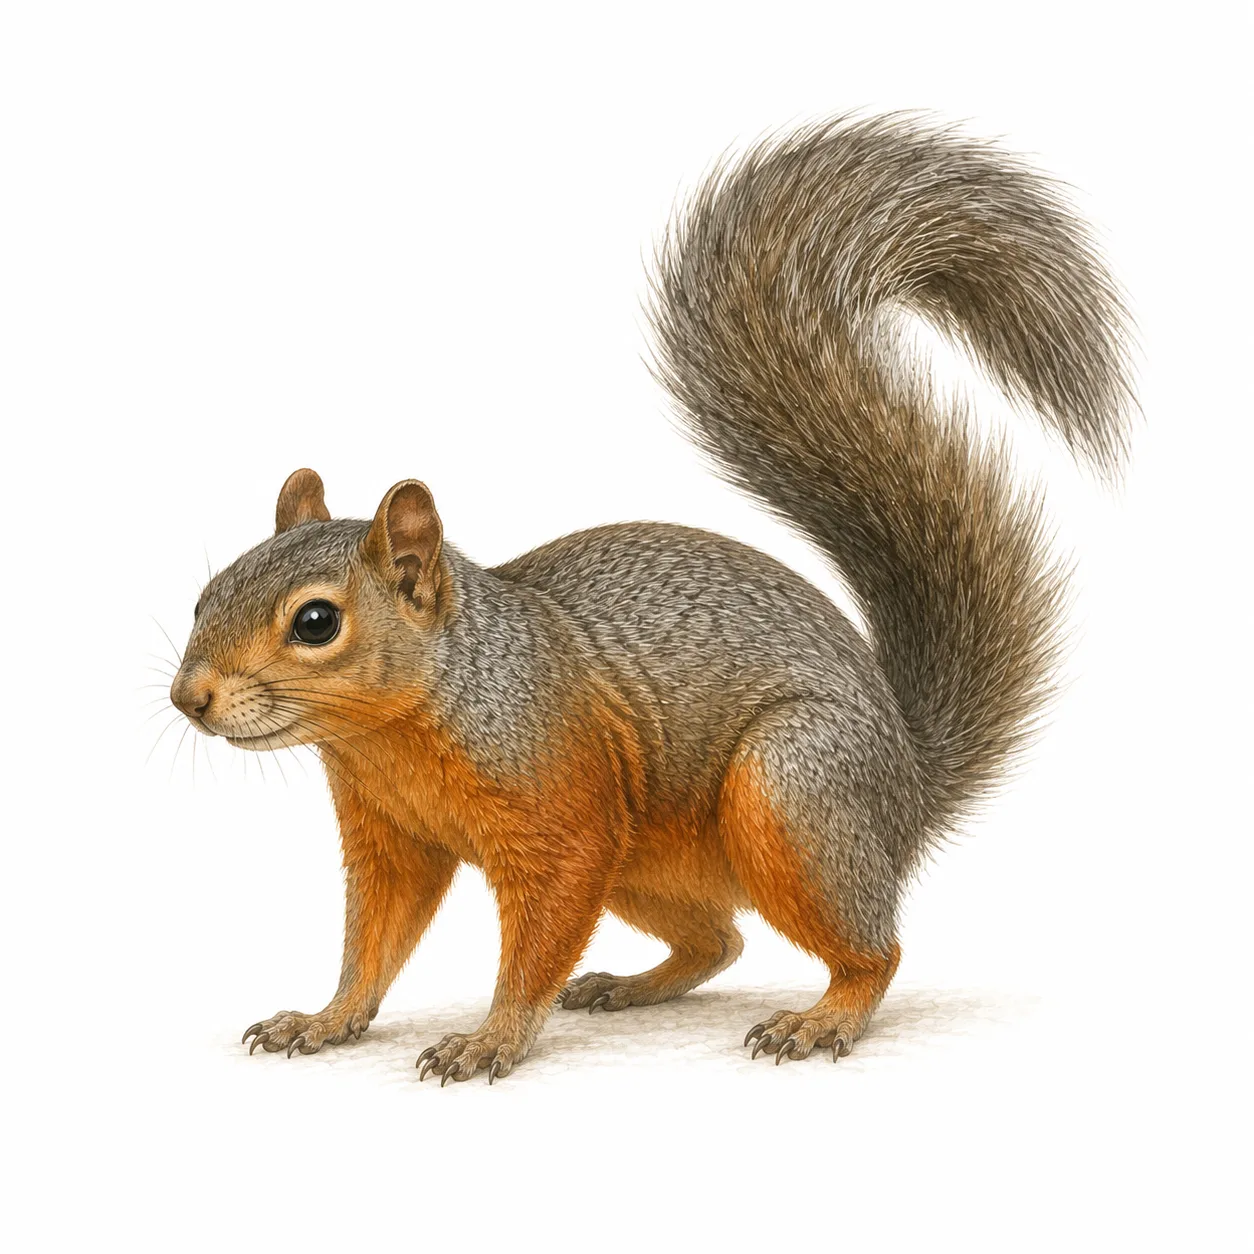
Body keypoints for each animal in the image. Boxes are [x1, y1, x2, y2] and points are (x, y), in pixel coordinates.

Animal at [169, 114, 1133, 1082]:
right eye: (203, 598)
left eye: (316, 622)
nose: (188, 697)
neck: (393, 734)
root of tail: (907, 780)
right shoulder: (390, 836)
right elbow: (375, 939)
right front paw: (325, 1018)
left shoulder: (564, 810)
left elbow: (537, 941)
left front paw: (491, 1038)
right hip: (650, 864)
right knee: (719, 940)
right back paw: (630, 986)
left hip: (793, 795)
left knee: (873, 949)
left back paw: (822, 1019)